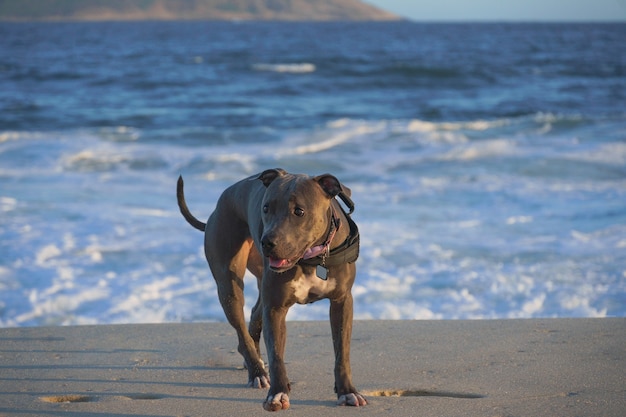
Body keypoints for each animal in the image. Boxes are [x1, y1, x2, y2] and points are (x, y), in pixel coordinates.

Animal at [176, 168, 366, 410]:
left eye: (299, 211)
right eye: (266, 208)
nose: (267, 242)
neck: (311, 259)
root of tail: (220, 203)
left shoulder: (341, 302)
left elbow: (342, 352)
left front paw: (347, 391)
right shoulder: (275, 308)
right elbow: (276, 356)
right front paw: (278, 394)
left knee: (255, 314)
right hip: (228, 286)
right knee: (242, 330)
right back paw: (257, 371)